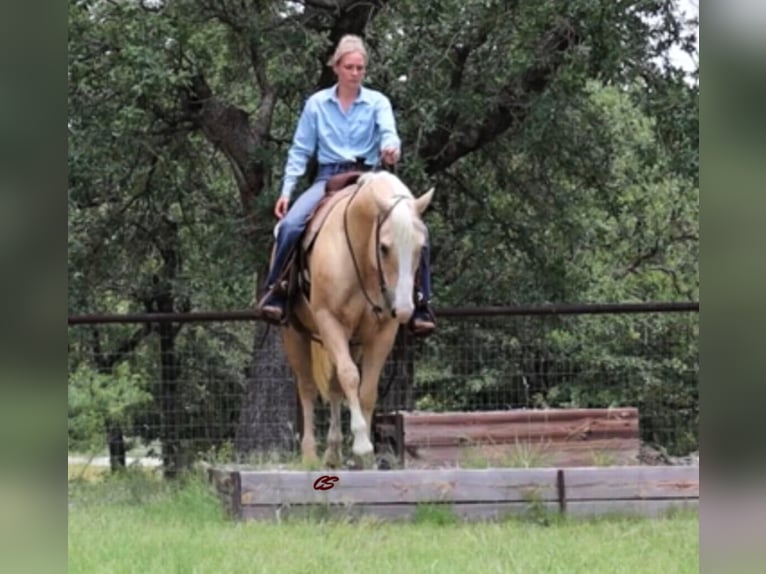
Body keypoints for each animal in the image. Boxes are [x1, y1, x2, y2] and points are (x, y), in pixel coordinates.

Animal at [284, 170, 436, 468]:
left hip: (350, 343)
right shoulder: (330, 322)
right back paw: (309, 454)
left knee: (333, 389)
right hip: (295, 334)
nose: (403, 309)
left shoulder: (383, 333)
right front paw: (363, 445)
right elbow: (350, 377)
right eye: (384, 247)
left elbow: (366, 389)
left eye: (421, 247)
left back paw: (333, 453)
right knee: (307, 388)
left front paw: (363, 453)